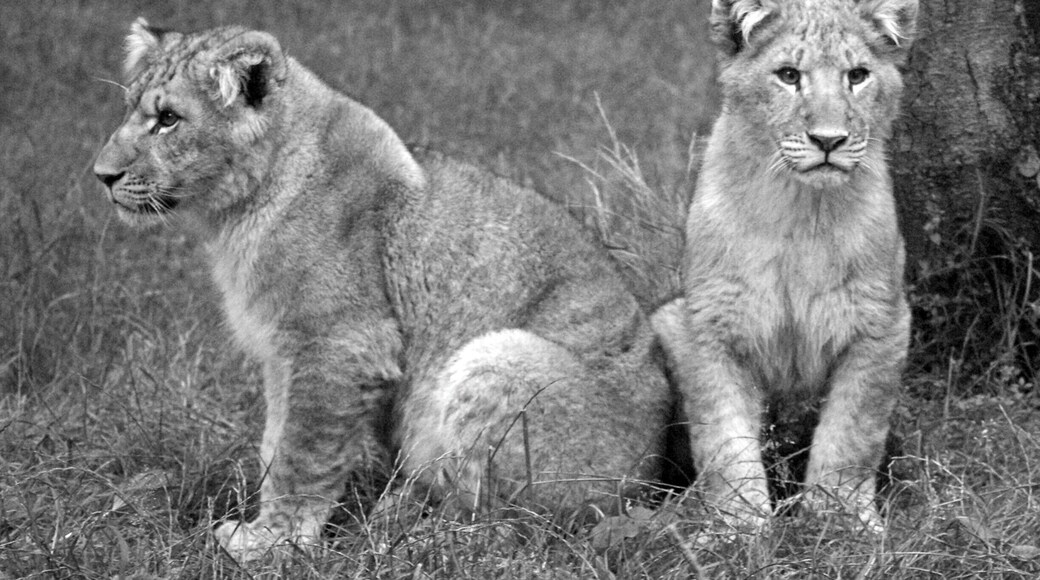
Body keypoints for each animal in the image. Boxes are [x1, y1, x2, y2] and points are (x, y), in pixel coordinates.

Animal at [93, 19, 680, 560]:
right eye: (129, 110)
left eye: (168, 120)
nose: (101, 175)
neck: (237, 213)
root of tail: (650, 481)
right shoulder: (284, 353)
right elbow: (273, 442)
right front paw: (269, 528)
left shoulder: (340, 342)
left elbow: (301, 454)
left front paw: (271, 543)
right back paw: (396, 511)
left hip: (496, 358)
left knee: (519, 531)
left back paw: (419, 534)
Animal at [652, 0, 916, 532]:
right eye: (789, 75)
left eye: (857, 75)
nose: (829, 140)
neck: (801, 212)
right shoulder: (708, 327)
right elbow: (726, 440)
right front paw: (738, 528)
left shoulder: (882, 325)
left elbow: (851, 432)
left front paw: (839, 521)